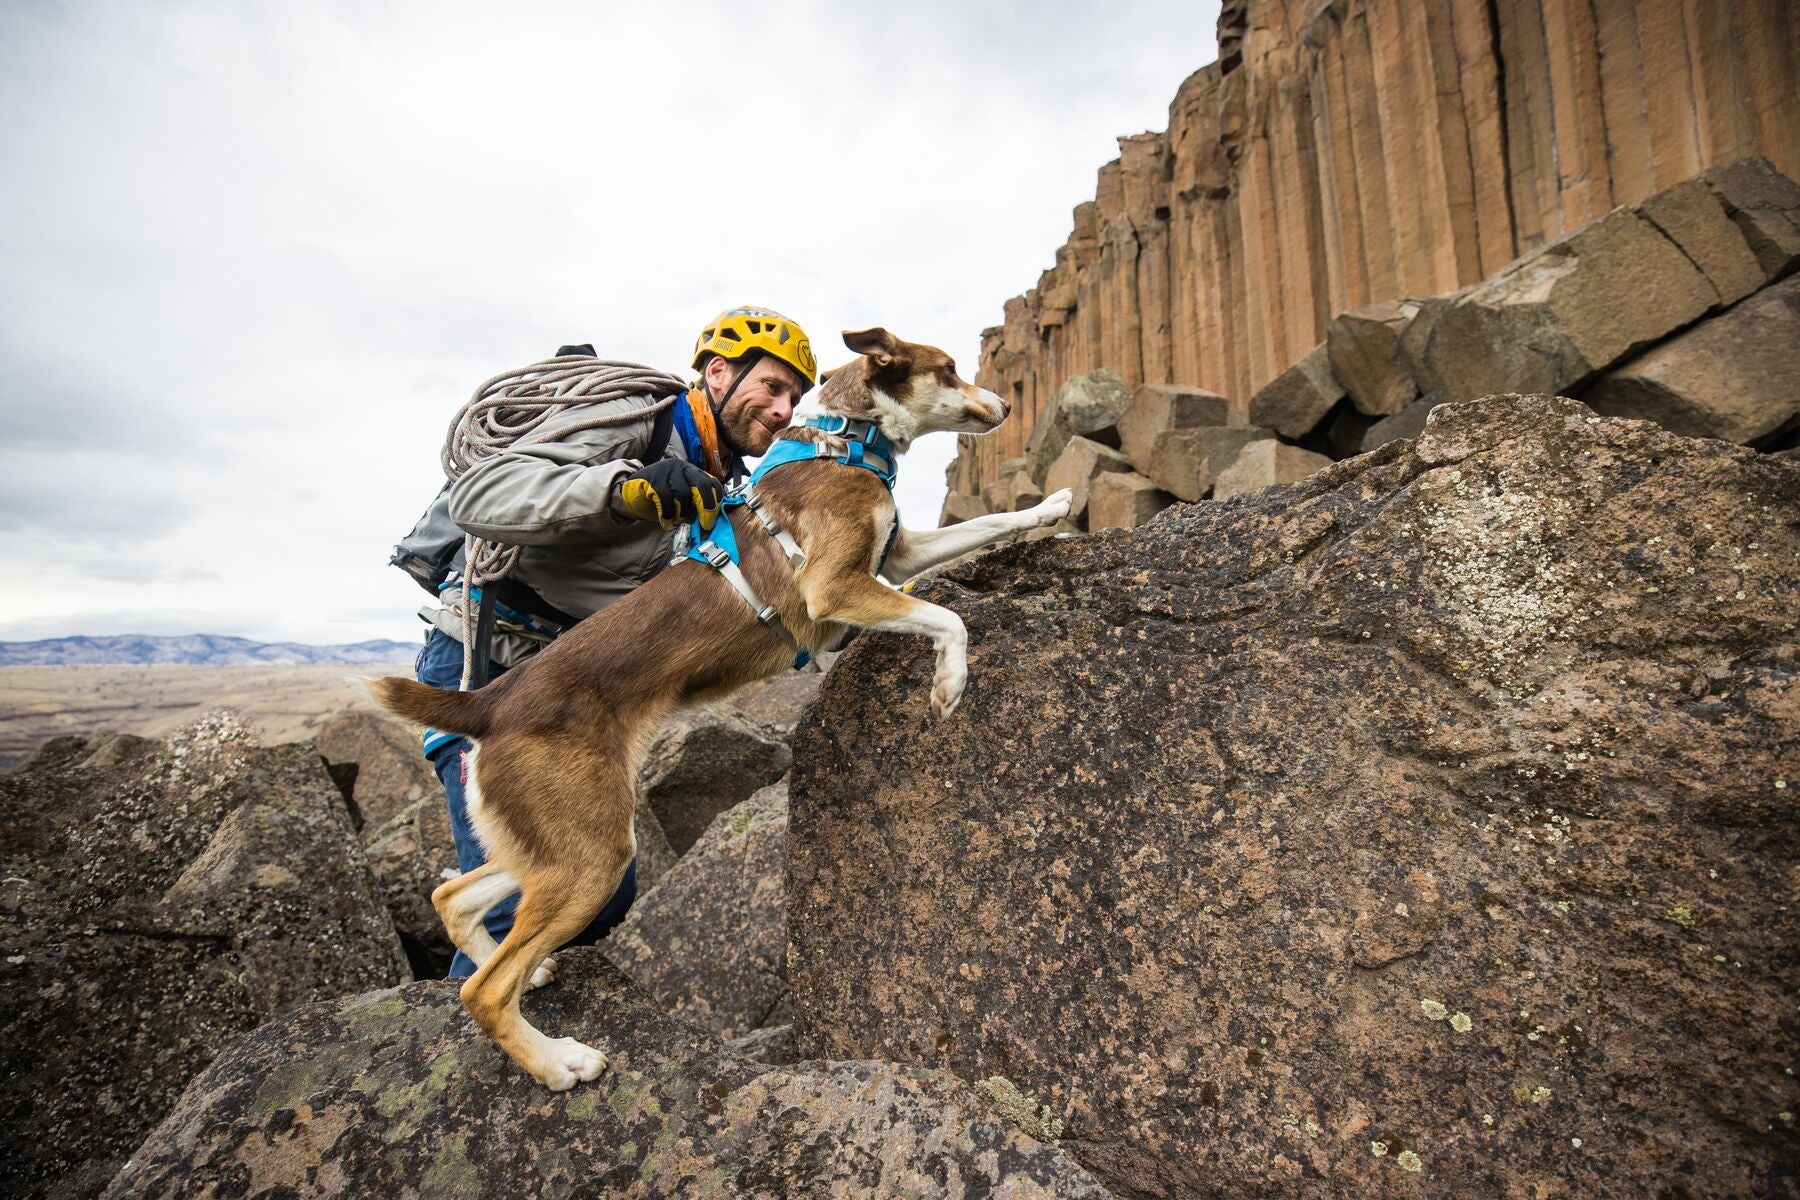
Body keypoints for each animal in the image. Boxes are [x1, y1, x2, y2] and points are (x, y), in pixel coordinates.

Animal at [365, 325, 1065, 1086]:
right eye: (950, 369)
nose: (1005, 405)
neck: (845, 438)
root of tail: (489, 702)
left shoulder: (899, 553)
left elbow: (992, 522)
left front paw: (1052, 509)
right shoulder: (836, 585)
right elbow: (950, 619)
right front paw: (949, 683)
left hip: (558, 842)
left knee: (450, 897)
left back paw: (532, 976)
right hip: (594, 851)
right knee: (482, 988)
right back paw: (556, 1062)